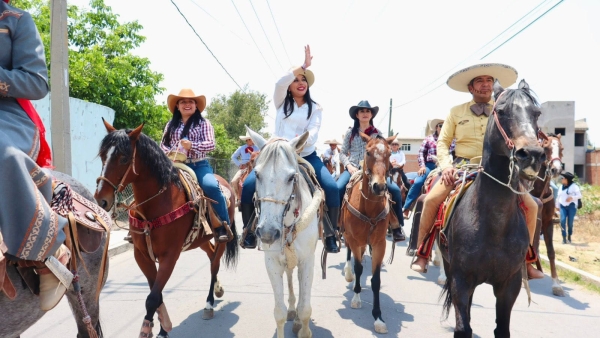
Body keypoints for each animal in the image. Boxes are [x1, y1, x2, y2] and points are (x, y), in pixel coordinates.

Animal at [94, 121, 237, 338]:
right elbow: (157, 293)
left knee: (214, 264)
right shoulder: (142, 255)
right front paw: (163, 327)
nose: (101, 199)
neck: (157, 203)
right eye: (103, 155)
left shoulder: (169, 256)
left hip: (221, 237)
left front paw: (151, 329)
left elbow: (153, 297)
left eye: (124, 158)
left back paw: (209, 303)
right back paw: (218, 289)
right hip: (201, 240)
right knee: (211, 255)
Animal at [247, 127, 322, 338]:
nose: (268, 233)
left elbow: (305, 308)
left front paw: (304, 331)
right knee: (289, 277)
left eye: (291, 177)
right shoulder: (272, 262)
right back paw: (291, 311)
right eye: (257, 174)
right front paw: (288, 312)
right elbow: (278, 312)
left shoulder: (308, 261)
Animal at [340, 131, 396, 334]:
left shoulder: (379, 243)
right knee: (350, 254)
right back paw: (348, 273)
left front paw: (378, 317)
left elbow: (376, 280)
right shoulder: (355, 239)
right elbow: (358, 268)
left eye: (389, 154)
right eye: (368, 152)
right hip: (349, 236)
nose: (379, 186)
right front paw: (356, 298)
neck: (369, 207)